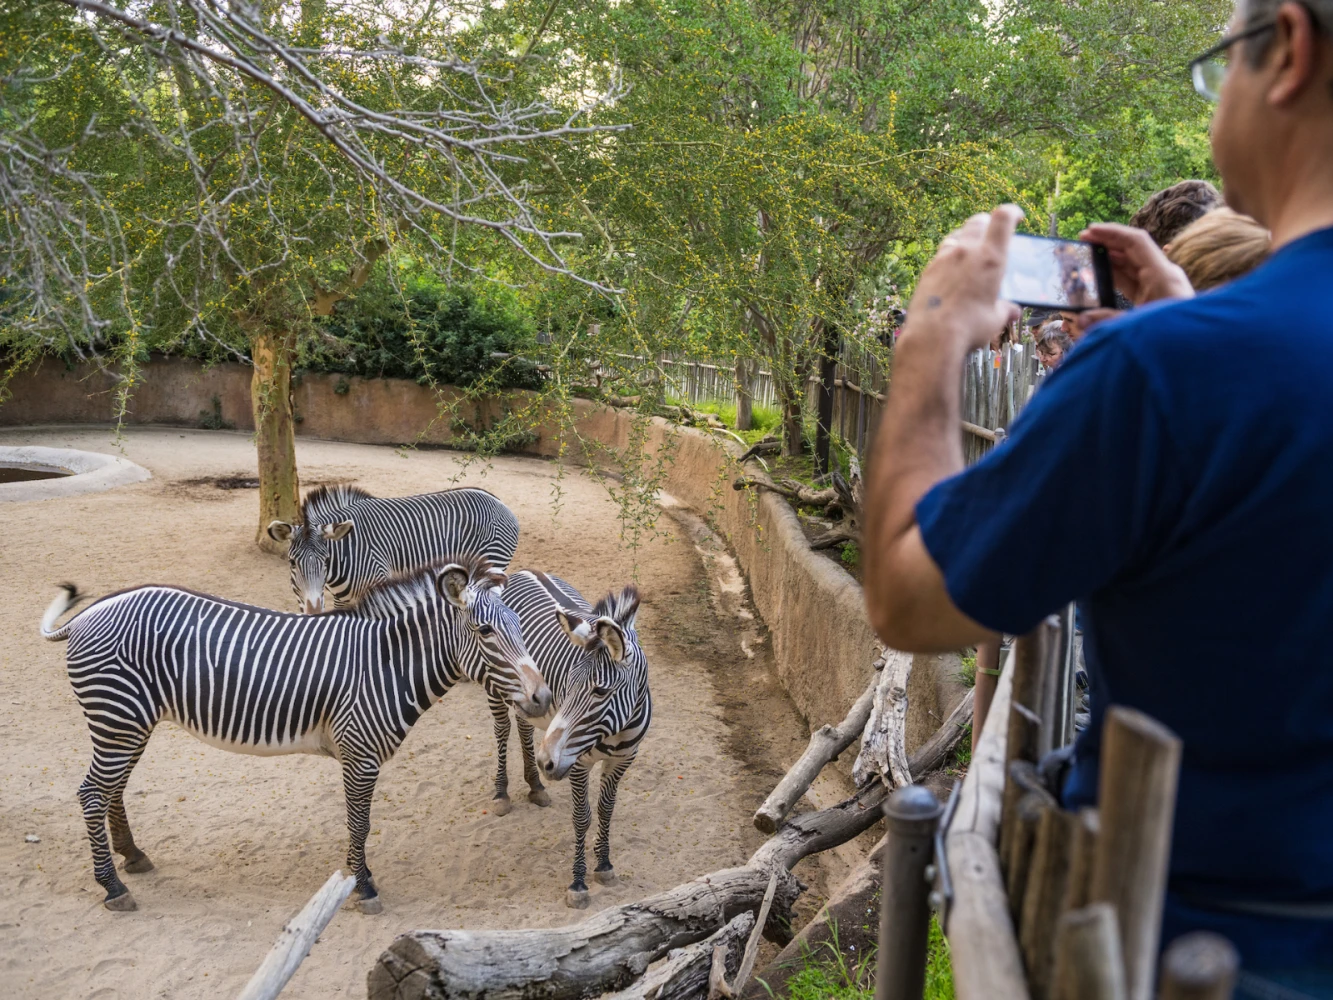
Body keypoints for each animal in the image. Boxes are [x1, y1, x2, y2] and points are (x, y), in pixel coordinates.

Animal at [40, 557, 551, 917]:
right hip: (118, 718)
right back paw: (113, 887)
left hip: (129, 722)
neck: (385, 664)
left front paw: (359, 876)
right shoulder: (360, 754)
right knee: (91, 793)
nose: (544, 697)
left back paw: (133, 856)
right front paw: (364, 886)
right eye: (485, 631)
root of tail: (87, 615)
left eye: (519, 627)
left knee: (113, 789)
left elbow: (358, 823)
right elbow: (360, 823)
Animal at [265, 488, 519, 618]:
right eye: (292, 563)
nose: (313, 611)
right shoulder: (338, 598)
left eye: (326, 560)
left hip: (494, 558)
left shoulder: (379, 581)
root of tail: (500, 502)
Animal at [495, 570, 650, 906]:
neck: (615, 731)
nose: (546, 762)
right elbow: (582, 817)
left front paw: (604, 865)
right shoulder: (578, 763)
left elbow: (606, 810)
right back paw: (501, 793)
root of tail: (524, 571)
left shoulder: (623, 760)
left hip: (530, 696)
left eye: (600, 691)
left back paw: (535, 785)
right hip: (497, 684)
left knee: (524, 726)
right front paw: (578, 883)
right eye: (569, 683)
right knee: (501, 729)